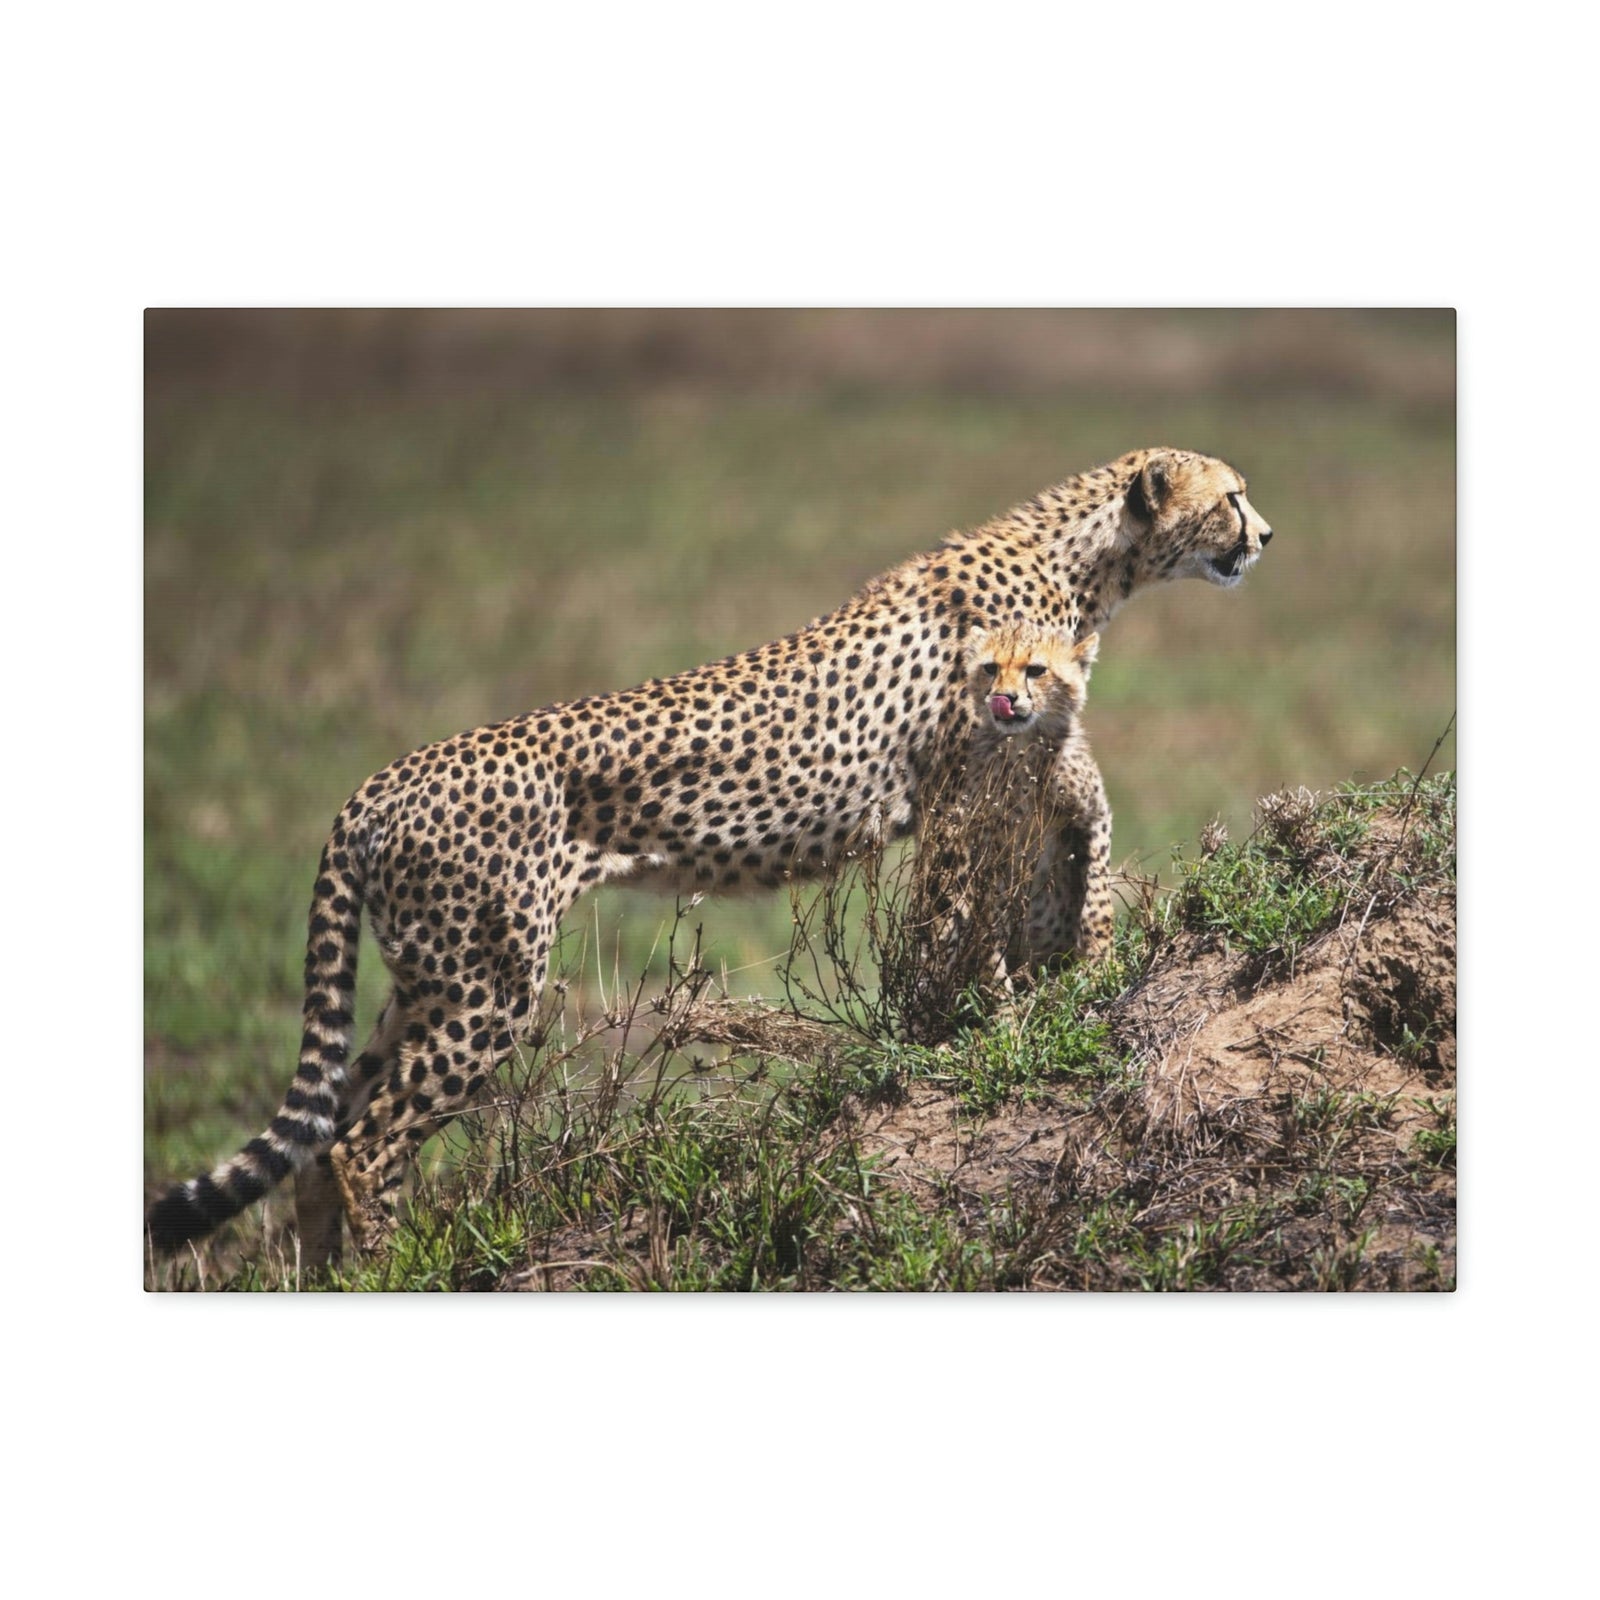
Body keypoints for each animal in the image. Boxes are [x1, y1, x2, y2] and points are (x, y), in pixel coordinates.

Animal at [147, 445, 1274, 1262]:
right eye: (1232, 495)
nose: (1263, 532)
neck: (1086, 561)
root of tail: (376, 784)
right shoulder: (963, 796)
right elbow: (966, 922)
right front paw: (984, 1034)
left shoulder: (1034, 760)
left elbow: (1073, 848)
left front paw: (1070, 979)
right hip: (487, 986)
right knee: (365, 1143)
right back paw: (389, 1269)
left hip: (428, 979)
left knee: (326, 1131)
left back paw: (328, 1275)